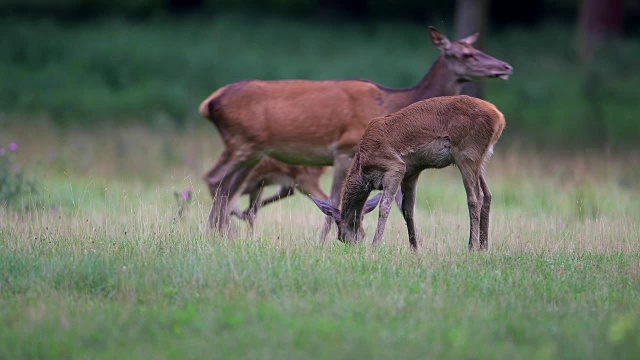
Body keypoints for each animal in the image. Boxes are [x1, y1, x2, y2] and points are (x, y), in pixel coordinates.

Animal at [310, 95, 504, 250]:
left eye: (341, 236)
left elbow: (385, 206)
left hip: (467, 153)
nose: (352, 247)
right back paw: (484, 247)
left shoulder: (396, 166)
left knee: (475, 197)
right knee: (488, 194)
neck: (363, 167)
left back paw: (472, 247)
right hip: (481, 157)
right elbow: (407, 209)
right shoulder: (411, 172)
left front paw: (375, 246)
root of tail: (500, 118)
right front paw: (415, 248)